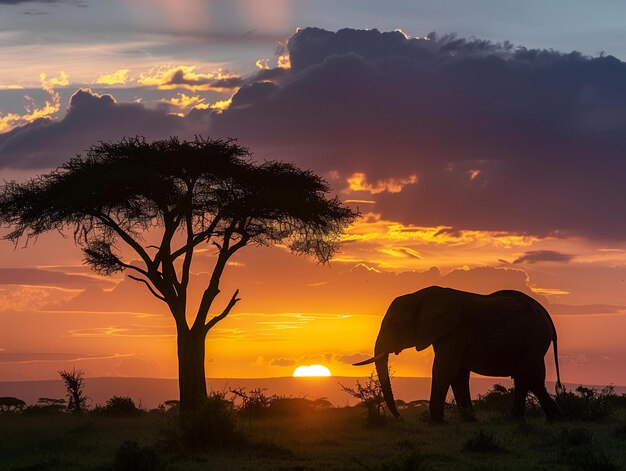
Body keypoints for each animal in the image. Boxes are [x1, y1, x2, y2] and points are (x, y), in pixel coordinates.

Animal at [354, 288, 564, 424]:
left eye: (395, 325)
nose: (398, 416)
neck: (419, 296)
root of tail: (547, 316)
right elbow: (458, 374)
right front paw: (469, 420)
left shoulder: (454, 331)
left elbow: (444, 369)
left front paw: (436, 422)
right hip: (535, 345)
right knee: (536, 381)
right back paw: (554, 419)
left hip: (533, 340)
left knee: (523, 378)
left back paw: (514, 419)